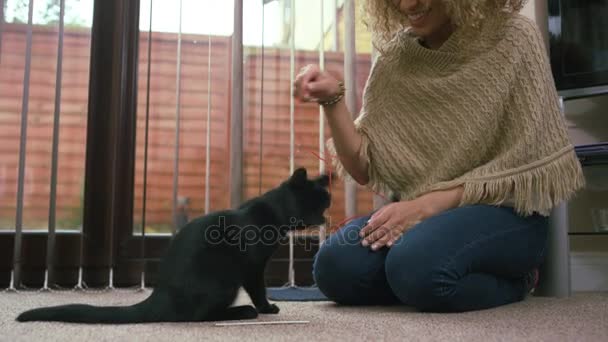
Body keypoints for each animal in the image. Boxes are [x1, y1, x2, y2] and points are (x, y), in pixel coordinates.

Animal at [16, 168, 330, 324]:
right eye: (319, 202)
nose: (327, 215)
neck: (272, 211)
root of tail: (158, 298)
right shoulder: (252, 267)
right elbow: (258, 290)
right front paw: (266, 308)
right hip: (224, 279)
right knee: (198, 316)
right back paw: (242, 312)